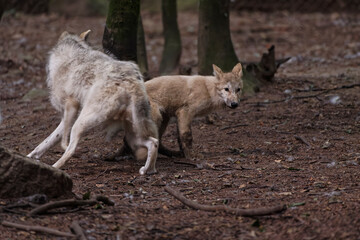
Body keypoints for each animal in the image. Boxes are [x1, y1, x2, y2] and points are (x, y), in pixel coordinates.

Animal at [27, 31, 158, 175]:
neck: (72, 51)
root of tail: (132, 82)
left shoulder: (71, 106)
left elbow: (62, 141)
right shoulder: (67, 115)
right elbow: (46, 142)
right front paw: (29, 157)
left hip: (80, 124)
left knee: (71, 151)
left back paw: (54, 168)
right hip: (132, 136)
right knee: (154, 142)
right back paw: (148, 170)